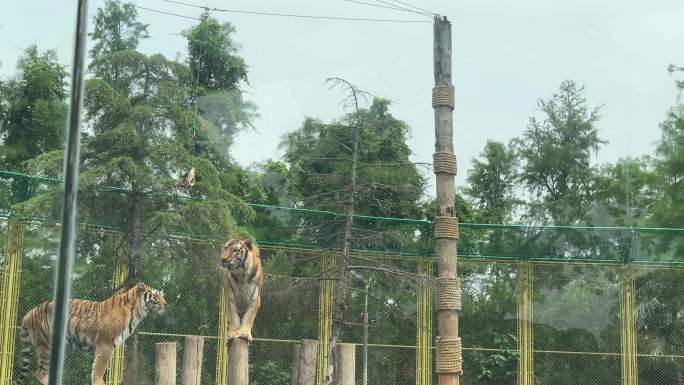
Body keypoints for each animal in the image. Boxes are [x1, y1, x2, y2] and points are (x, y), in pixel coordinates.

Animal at [14, 282, 166, 384]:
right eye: (156, 295)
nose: (165, 304)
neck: (137, 312)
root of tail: (29, 312)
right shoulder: (105, 346)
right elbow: (98, 372)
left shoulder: (102, 348)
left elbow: (96, 370)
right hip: (46, 345)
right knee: (40, 373)